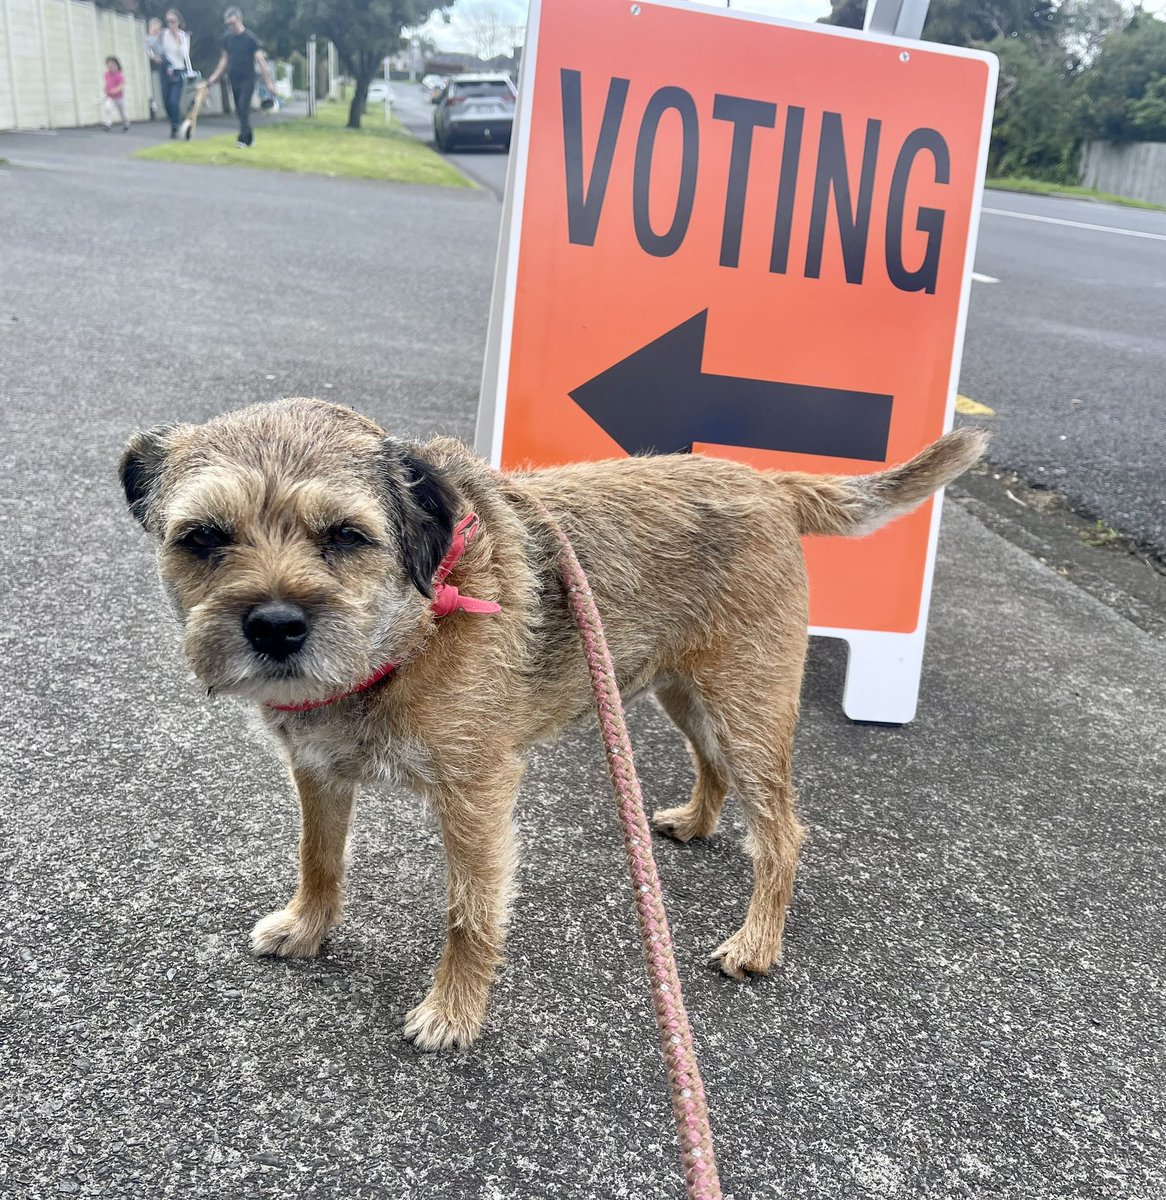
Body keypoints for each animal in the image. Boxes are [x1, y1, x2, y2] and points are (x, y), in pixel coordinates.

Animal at [122, 398, 983, 1046]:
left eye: (345, 536)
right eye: (204, 537)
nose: (274, 626)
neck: (415, 622)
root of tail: (765, 481)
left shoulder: (476, 795)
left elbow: (469, 912)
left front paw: (454, 1012)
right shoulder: (317, 769)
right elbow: (319, 857)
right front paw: (308, 927)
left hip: (749, 704)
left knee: (782, 830)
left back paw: (757, 941)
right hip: (679, 687)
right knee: (708, 762)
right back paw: (695, 820)